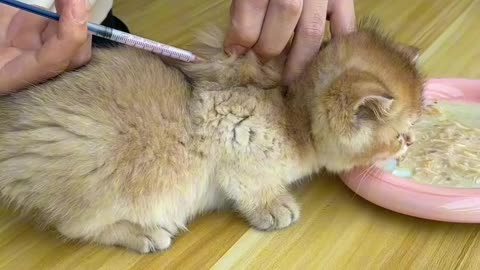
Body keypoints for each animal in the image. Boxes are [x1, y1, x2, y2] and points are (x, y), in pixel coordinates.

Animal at [0, 21, 422, 253]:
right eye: (401, 134)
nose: (412, 143)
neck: (292, 111)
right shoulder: (238, 152)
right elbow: (254, 187)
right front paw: (275, 207)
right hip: (105, 182)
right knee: (75, 227)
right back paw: (145, 233)